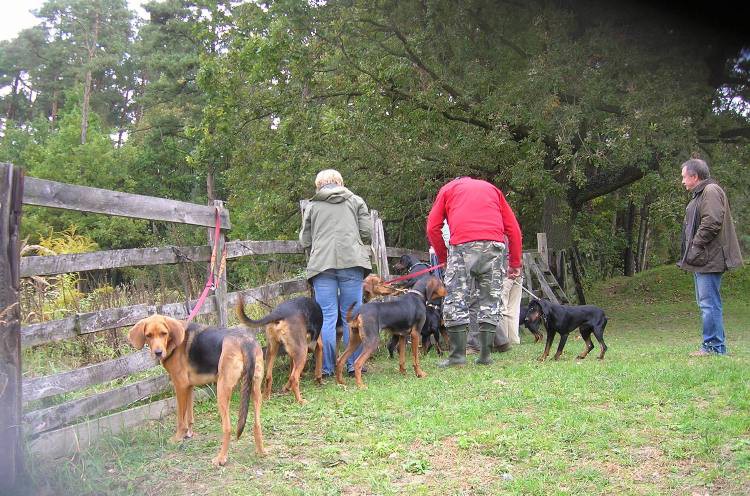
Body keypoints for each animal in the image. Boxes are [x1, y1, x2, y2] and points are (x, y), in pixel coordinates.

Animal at [130, 316, 268, 466]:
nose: (158, 353)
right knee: (257, 424)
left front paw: (178, 437)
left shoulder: (180, 386)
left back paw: (221, 458)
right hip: (255, 389)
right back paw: (261, 451)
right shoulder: (189, 387)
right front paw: (189, 433)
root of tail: (245, 342)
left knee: (228, 427)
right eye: (148, 335)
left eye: (163, 333)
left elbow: (180, 419)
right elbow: (189, 416)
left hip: (222, 390)